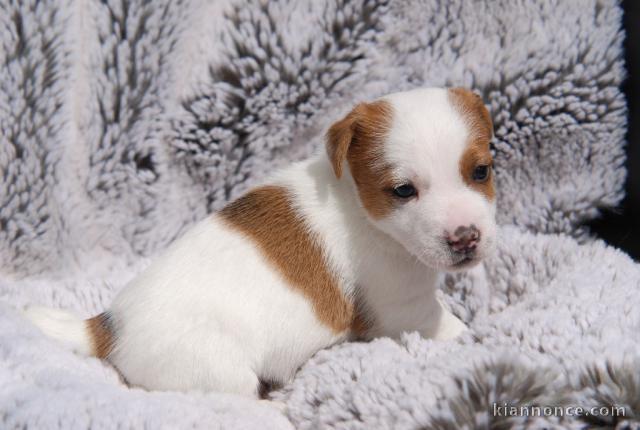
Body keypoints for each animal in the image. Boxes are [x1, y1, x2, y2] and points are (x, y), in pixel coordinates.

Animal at [23, 87, 496, 400]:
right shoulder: (402, 305)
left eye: (481, 172)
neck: (358, 204)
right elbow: (441, 323)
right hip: (219, 373)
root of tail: (106, 327)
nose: (466, 237)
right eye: (402, 190)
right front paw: (468, 335)